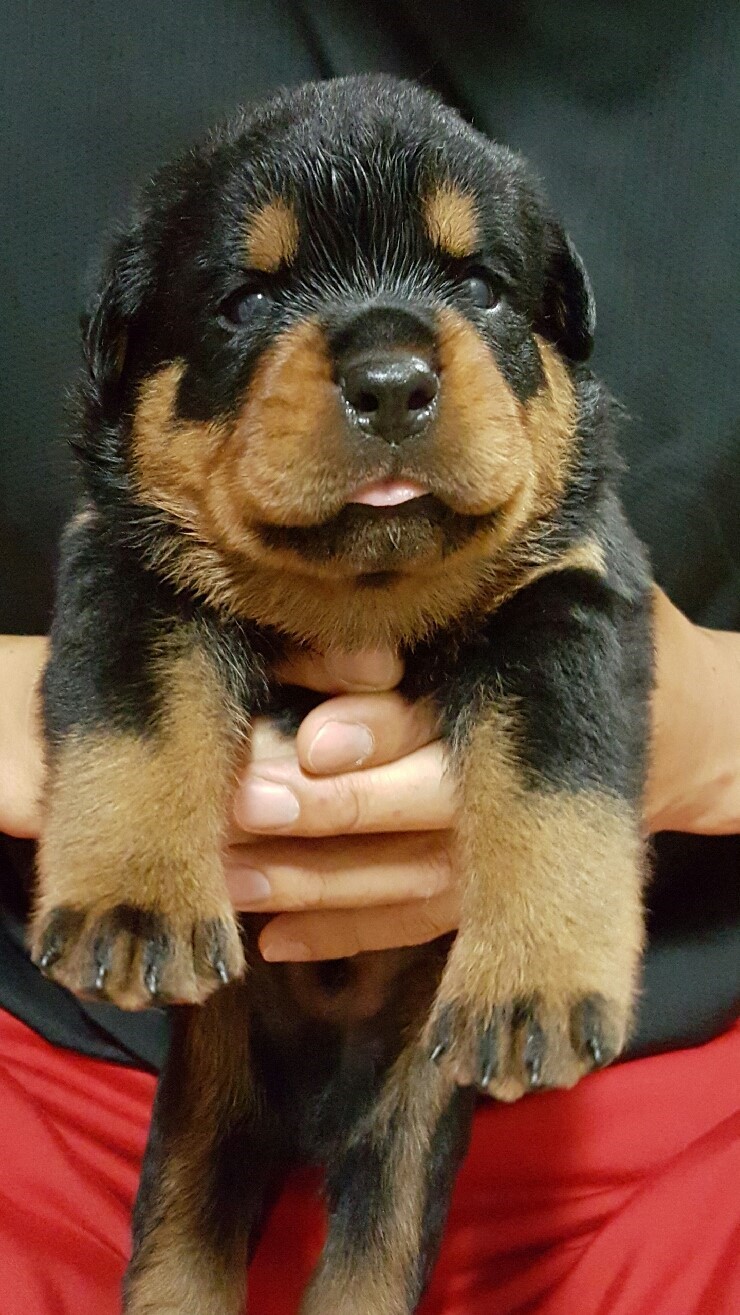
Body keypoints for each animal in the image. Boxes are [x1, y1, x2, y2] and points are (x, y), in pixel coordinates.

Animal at [31, 75, 653, 1314]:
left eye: (479, 284)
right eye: (245, 301)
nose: (391, 382)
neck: (359, 603)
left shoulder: (570, 599)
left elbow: (556, 778)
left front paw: (535, 977)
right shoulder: (126, 569)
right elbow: (133, 722)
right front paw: (131, 899)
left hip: (405, 1132)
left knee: (372, 1248)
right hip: (202, 1121)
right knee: (179, 1246)